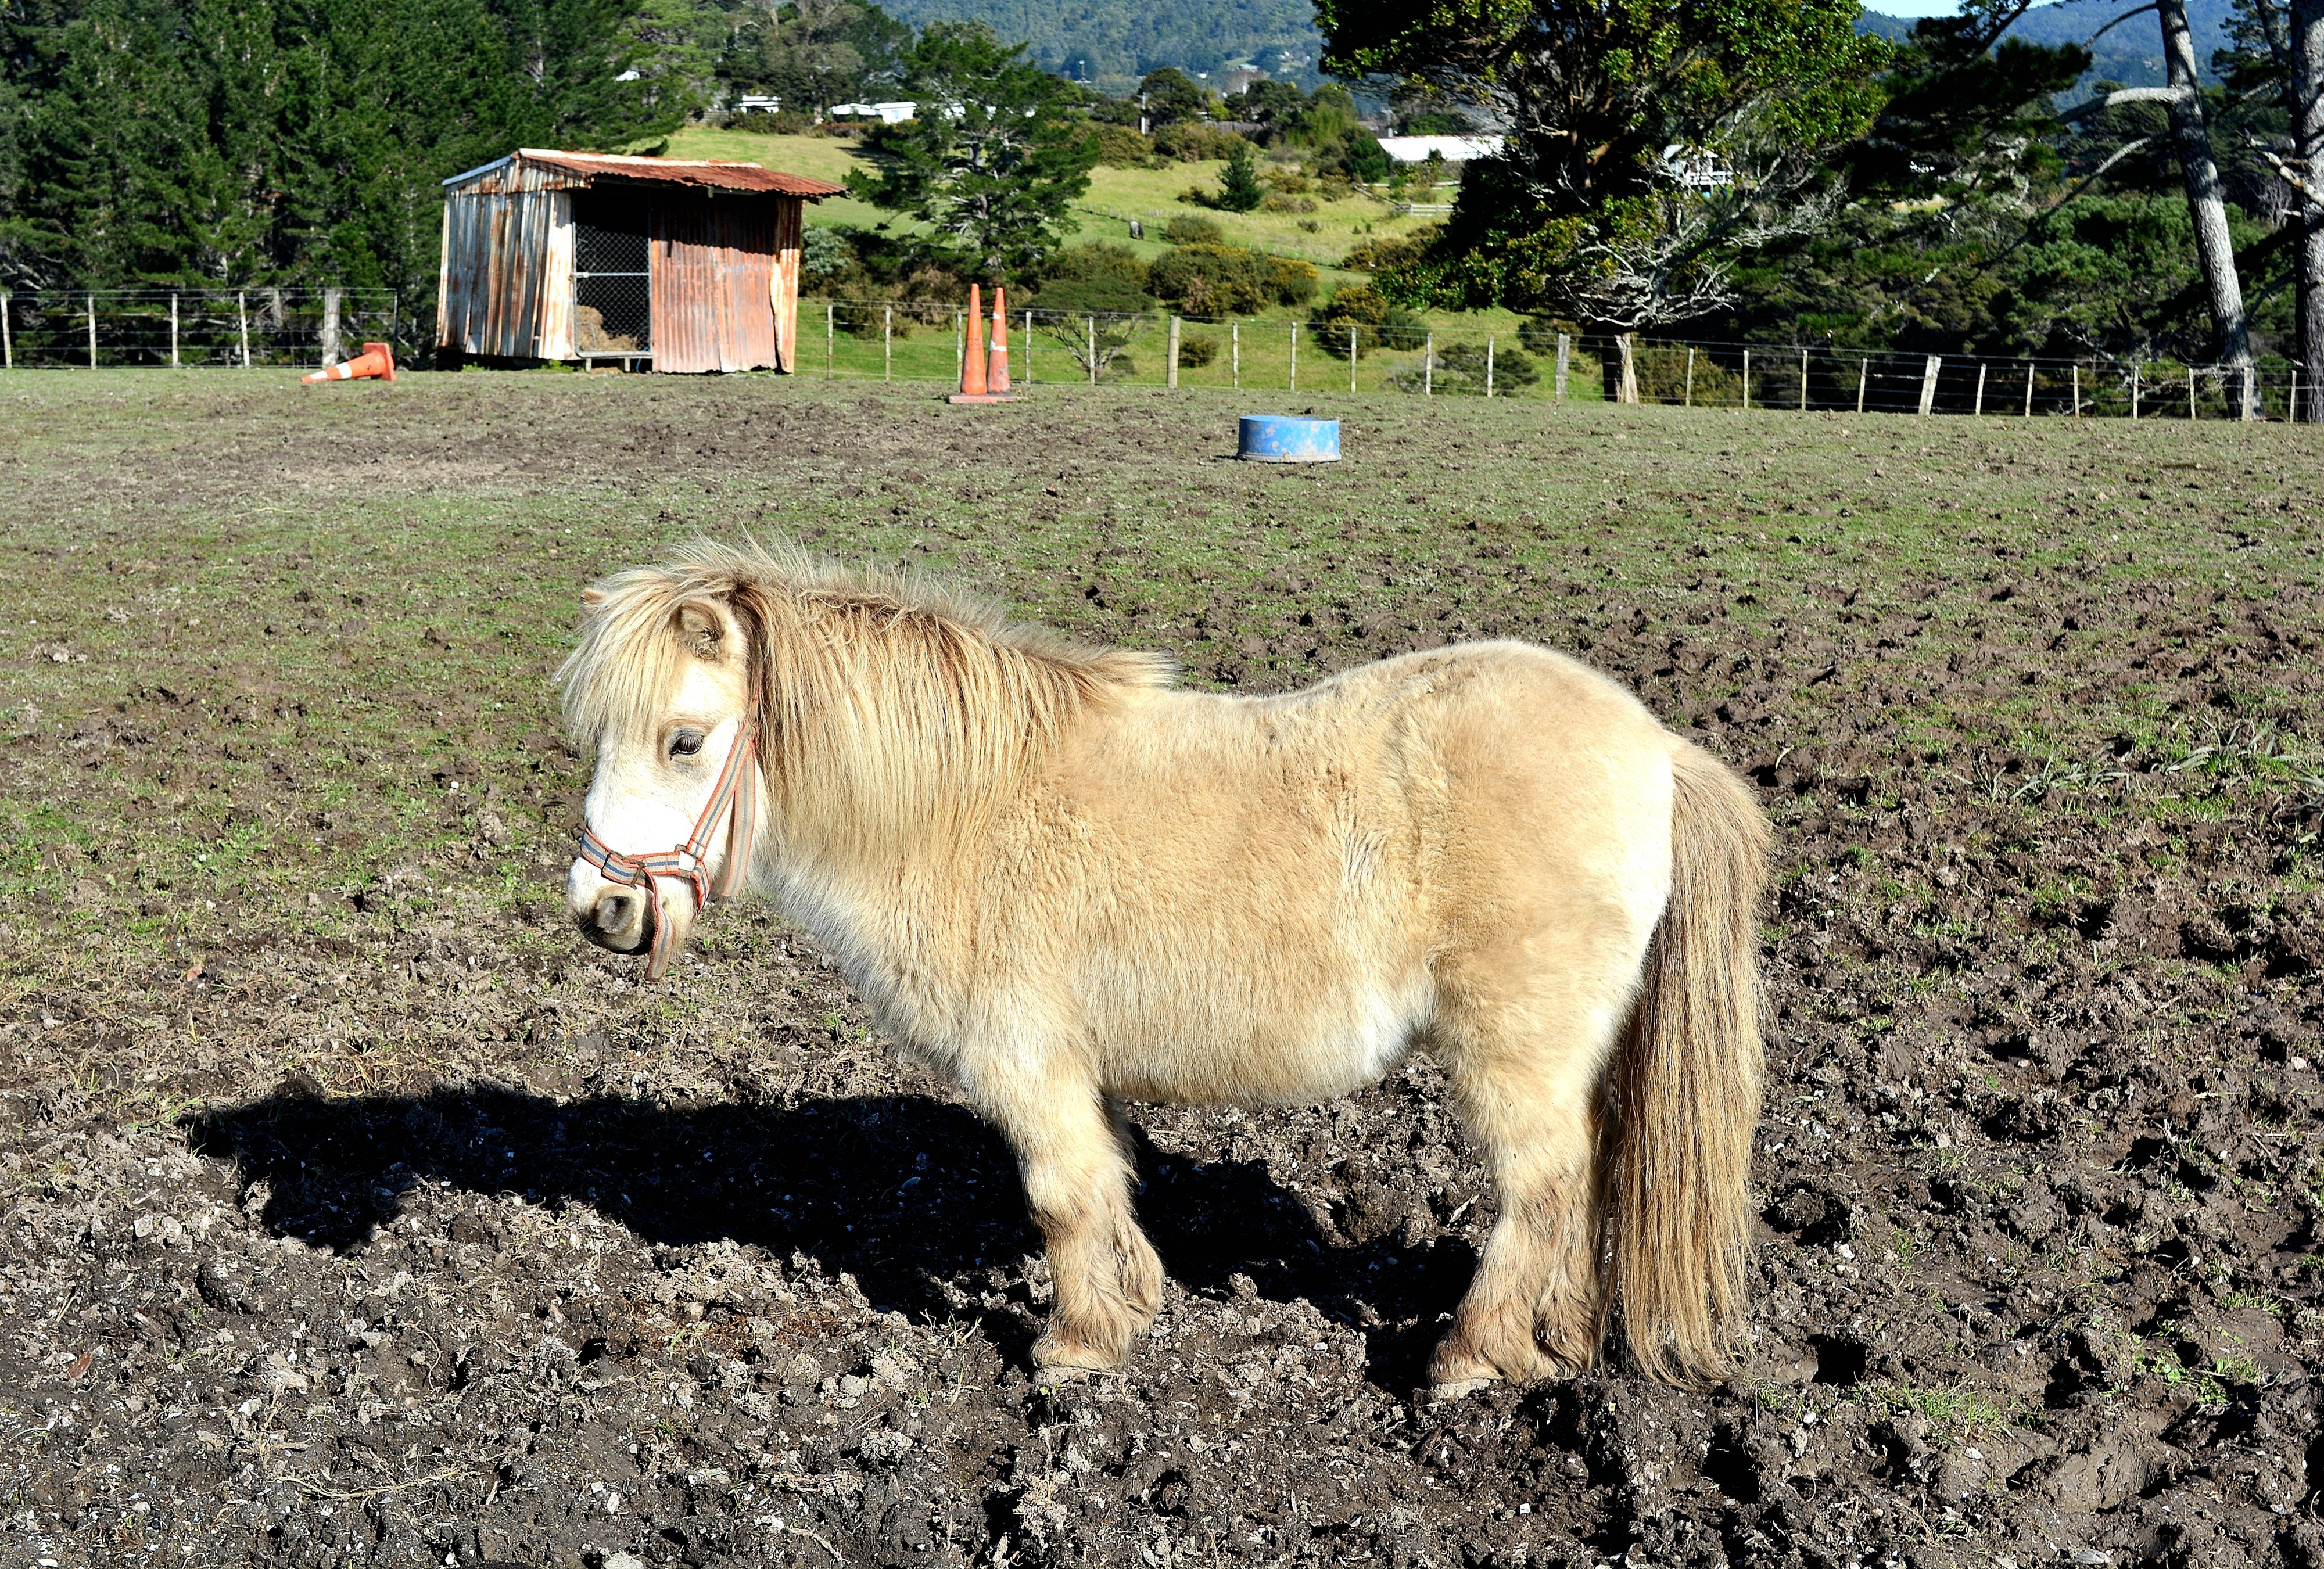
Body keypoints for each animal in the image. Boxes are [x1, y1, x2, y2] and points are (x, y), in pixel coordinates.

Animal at [557, 540, 1769, 1391]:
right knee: (1584, 1185)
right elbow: (1106, 1185)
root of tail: (1657, 747)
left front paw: (1078, 1346)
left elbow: (1060, 1198)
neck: (960, 813)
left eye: (683, 739)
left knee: (1543, 1187)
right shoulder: (1077, 1074)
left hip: (1514, 1055)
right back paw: (1553, 1340)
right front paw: (1131, 1309)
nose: (602, 907)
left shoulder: (1026, 1064)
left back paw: (1471, 1357)